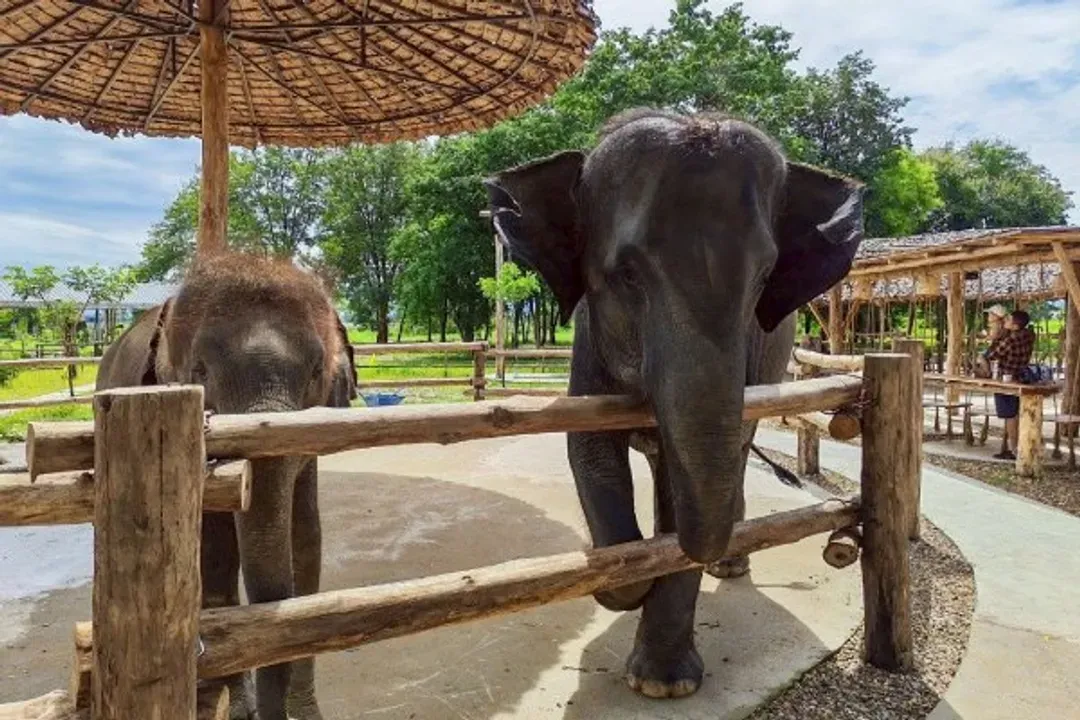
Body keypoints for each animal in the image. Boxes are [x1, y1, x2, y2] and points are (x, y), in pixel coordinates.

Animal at [96, 252, 357, 720]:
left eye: (316, 371)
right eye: (199, 371)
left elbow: (307, 544)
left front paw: (305, 712)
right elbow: (214, 558)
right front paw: (237, 708)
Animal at [484, 108, 865, 699]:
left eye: (763, 278)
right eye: (627, 275)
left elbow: (681, 485)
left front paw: (662, 685)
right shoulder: (587, 342)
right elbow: (590, 447)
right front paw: (623, 575)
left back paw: (727, 566)